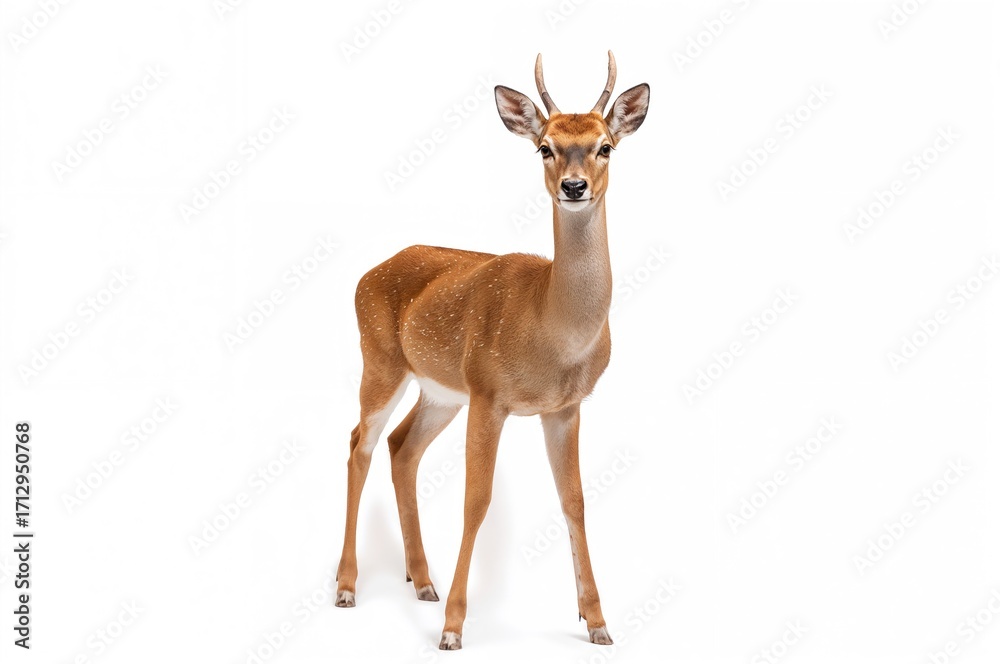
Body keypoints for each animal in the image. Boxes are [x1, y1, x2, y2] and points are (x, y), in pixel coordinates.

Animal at [335, 51, 650, 650]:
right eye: (544, 146)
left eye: (606, 146)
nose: (574, 187)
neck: (552, 332)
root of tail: (370, 270)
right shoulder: (489, 394)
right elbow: (475, 501)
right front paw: (453, 629)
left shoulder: (564, 408)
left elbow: (574, 500)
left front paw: (597, 621)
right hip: (380, 360)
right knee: (360, 441)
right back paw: (346, 586)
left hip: (439, 392)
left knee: (401, 447)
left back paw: (422, 581)